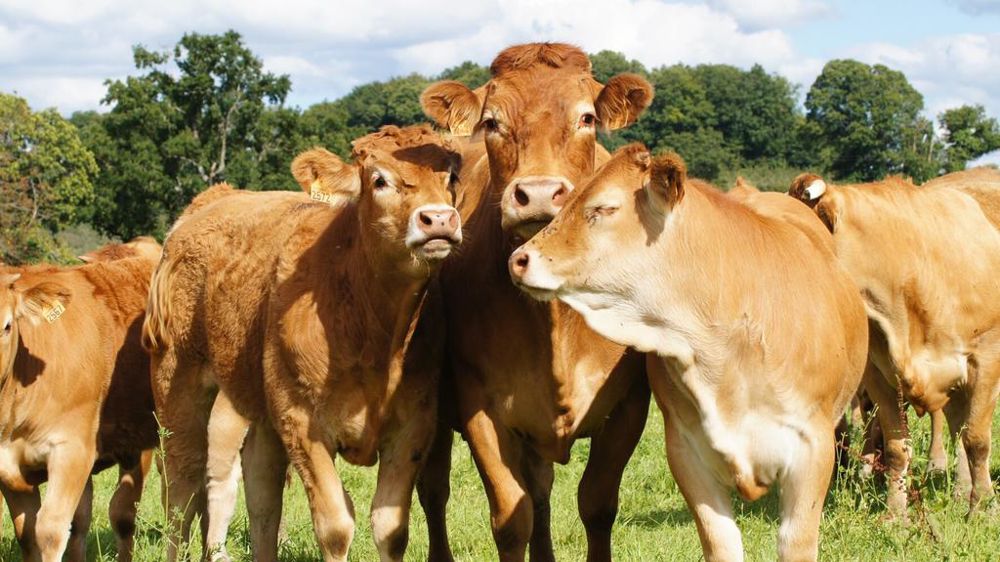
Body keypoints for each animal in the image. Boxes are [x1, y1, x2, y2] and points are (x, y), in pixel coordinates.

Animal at [144, 124, 463, 562]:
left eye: (452, 178)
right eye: (379, 180)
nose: (439, 219)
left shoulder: (415, 423)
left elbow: (390, 528)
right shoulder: (300, 421)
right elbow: (335, 527)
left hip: (257, 408)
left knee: (261, 493)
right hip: (177, 382)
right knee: (182, 487)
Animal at [417, 43, 654, 562]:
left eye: (586, 118)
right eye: (492, 122)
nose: (540, 194)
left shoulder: (630, 402)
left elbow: (596, 505)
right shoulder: (481, 406)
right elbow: (511, 518)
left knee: (542, 490)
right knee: (434, 490)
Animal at [508, 145, 868, 561]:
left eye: (604, 208)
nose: (519, 259)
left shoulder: (811, 450)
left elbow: (795, 544)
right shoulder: (687, 453)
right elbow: (720, 543)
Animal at [788, 169, 1000, 516]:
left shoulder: (986, 360)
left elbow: (977, 440)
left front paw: (983, 507)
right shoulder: (878, 373)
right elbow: (897, 446)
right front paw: (895, 513)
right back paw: (958, 488)